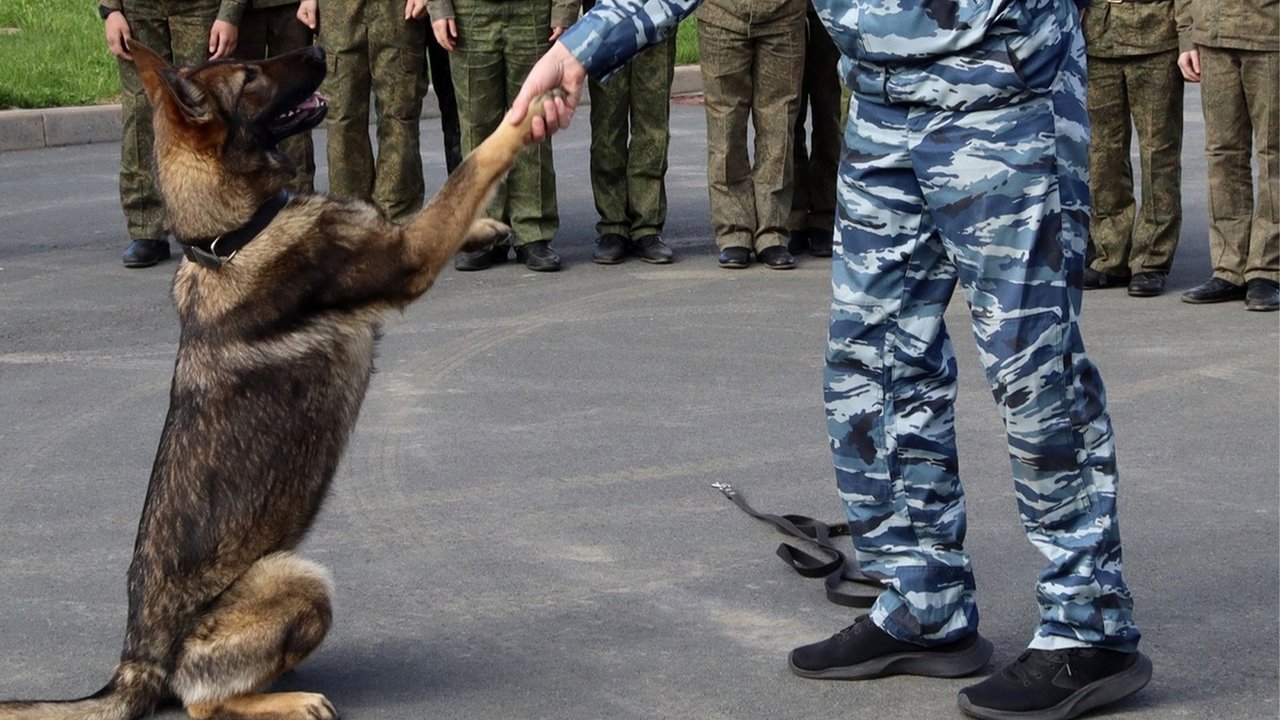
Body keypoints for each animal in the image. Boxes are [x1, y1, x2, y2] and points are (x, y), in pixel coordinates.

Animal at [1, 41, 550, 717]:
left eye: (243, 59)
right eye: (250, 77)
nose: (317, 46)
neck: (231, 236)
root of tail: (136, 662)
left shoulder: (398, 240)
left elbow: (427, 204)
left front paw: (487, 229)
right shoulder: (410, 259)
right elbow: (470, 168)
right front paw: (535, 105)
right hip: (298, 579)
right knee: (202, 703)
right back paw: (290, 700)